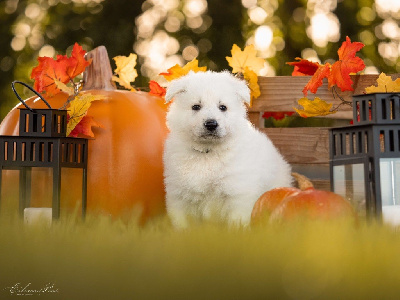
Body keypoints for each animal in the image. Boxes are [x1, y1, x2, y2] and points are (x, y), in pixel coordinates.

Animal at [162, 72, 290, 227]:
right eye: (196, 107)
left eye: (223, 107)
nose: (211, 124)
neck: (208, 152)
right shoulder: (179, 195)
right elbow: (182, 224)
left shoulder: (237, 194)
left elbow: (235, 223)